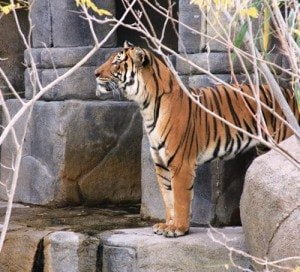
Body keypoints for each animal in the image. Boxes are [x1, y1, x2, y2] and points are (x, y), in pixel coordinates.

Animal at [94, 41, 300, 237]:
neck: (146, 105)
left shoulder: (180, 163)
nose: (95, 73)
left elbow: (180, 199)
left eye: (116, 62)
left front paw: (177, 228)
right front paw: (167, 224)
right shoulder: (161, 164)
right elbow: (168, 198)